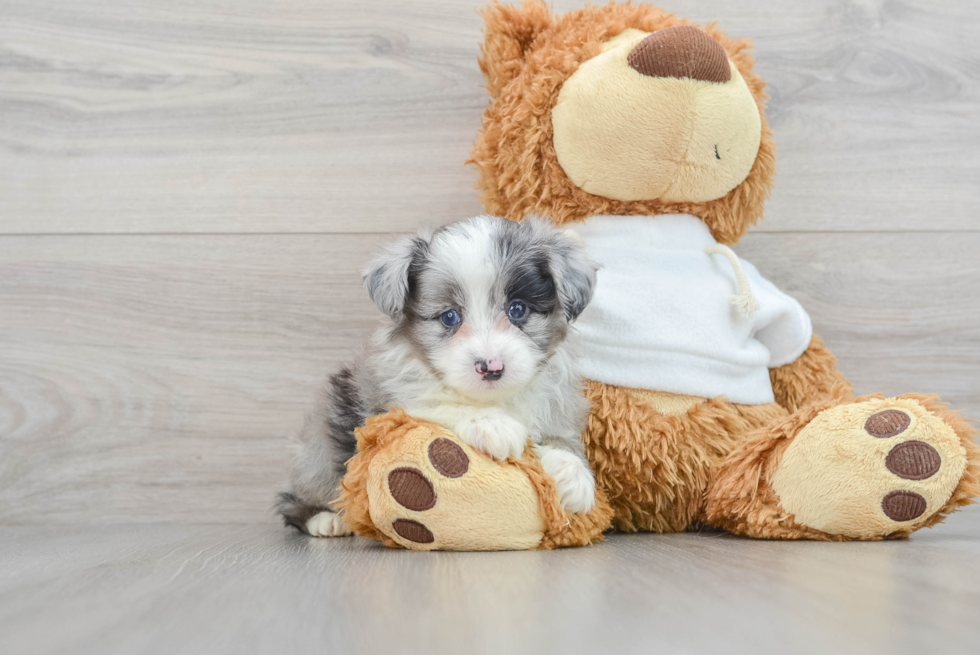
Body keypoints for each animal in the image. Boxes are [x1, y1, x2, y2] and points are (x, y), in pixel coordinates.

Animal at [274, 215, 596, 540]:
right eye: (449, 317)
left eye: (517, 310)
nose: (490, 367)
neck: (495, 397)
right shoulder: (391, 400)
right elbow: (437, 403)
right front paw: (491, 423)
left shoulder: (558, 402)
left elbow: (562, 437)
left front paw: (573, 474)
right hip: (319, 449)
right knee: (297, 498)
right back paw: (327, 519)